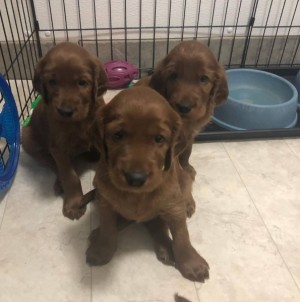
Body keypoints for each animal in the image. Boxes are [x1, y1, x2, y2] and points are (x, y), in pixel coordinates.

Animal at [22, 42, 109, 219]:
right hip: (25, 137)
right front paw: (74, 204)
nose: (65, 111)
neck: (80, 120)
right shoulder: (58, 147)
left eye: (82, 82)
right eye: (52, 81)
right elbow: (69, 176)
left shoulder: (99, 134)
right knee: (53, 165)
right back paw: (59, 184)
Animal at [86, 86, 209, 284]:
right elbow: (107, 227)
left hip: (181, 182)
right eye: (118, 135)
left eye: (159, 138)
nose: (136, 178)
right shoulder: (105, 201)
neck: (136, 194)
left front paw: (192, 264)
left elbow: (182, 236)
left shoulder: (174, 207)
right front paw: (101, 250)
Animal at [138, 40, 227, 216]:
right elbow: (180, 176)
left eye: (204, 79)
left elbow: (186, 155)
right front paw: (186, 201)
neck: (185, 122)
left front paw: (188, 167)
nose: (184, 107)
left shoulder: (190, 136)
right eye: (173, 76)